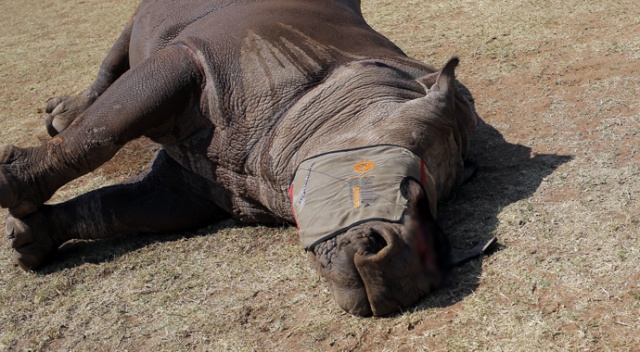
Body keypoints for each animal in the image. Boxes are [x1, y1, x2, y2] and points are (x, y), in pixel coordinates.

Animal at [0, 0, 496, 318]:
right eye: (407, 187)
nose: (414, 271)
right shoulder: (202, 56)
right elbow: (99, 134)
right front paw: (10, 183)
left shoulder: (204, 187)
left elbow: (117, 209)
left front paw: (30, 240)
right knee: (117, 57)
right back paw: (62, 115)